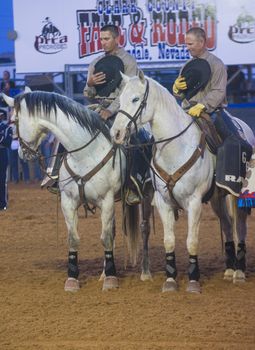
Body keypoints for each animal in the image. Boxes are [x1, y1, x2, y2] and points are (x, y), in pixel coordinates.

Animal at [2, 89, 153, 292]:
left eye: (14, 120)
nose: (22, 153)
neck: (85, 153)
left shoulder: (106, 200)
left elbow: (105, 238)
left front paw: (111, 279)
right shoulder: (68, 201)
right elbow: (74, 239)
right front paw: (72, 279)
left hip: (147, 194)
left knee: (144, 229)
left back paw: (145, 272)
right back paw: (103, 272)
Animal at [111, 70, 255, 292]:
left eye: (135, 99)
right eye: (120, 100)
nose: (116, 133)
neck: (176, 146)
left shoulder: (194, 202)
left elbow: (192, 241)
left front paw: (194, 280)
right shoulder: (162, 202)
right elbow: (169, 241)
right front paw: (170, 280)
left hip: (235, 195)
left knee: (239, 227)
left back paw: (239, 272)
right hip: (217, 198)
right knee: (227, 225)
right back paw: (229, 269)